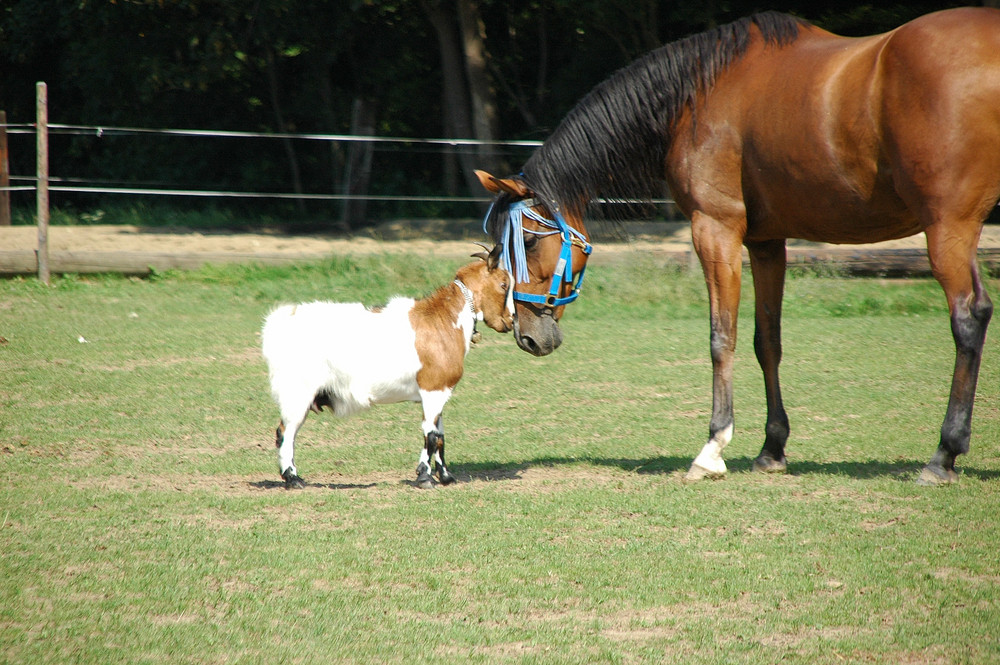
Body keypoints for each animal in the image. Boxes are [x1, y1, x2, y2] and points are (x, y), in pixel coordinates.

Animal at [262, 246, 512, 486]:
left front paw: (446, 477)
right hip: (297, 391)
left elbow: (440, 435)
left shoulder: (440, 391)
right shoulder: (433, 389)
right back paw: (293, 478)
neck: (443, 320)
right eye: (503, 284)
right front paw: (424, 477)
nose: (509, 321)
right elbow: (430, 435)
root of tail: (279, 323)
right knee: (286, 432)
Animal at [480, 6, 996, 482]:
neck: (695, 96)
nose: (527, 336)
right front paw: (772, 449)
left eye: (528, 242)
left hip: (947, 227)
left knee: (968, 318)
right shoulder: (766, 243)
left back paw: (944, 454)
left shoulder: (715, 230)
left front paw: (713, 447)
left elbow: (720, 337)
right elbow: (767, 341)